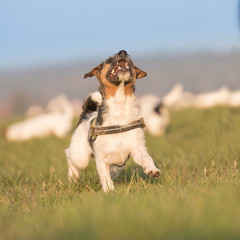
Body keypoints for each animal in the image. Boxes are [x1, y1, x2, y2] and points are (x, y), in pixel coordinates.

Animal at [64, 49, 160, 192]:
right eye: (108, 61)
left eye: (131, 59)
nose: (123, 51)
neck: (119, 107)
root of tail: (86, 113)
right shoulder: (101, 159)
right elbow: (105, 176)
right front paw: (109, 191)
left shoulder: (137, 149)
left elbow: (147, 158)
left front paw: (152, 169)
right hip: (80, 156)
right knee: (69, 157)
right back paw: (73, 177)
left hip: (116, 164)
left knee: (114, 170)